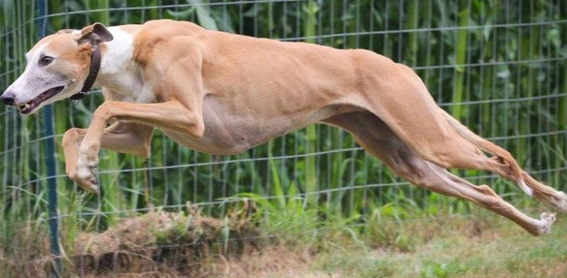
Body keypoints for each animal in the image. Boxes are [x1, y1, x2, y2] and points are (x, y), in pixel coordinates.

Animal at [1, 19, 567, 236]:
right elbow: (80, 129)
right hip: (408, 158)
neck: (124, 49)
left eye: (45, 59)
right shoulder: (141, 138)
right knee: (483, 191)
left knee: (501, 163)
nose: (7, 98)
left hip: (430, 138)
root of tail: (396, 64)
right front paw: (84, 170)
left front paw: (87, 167)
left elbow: (99, 114)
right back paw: (538, 224)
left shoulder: (189, 115)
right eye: (28, 58)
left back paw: (550, 201)